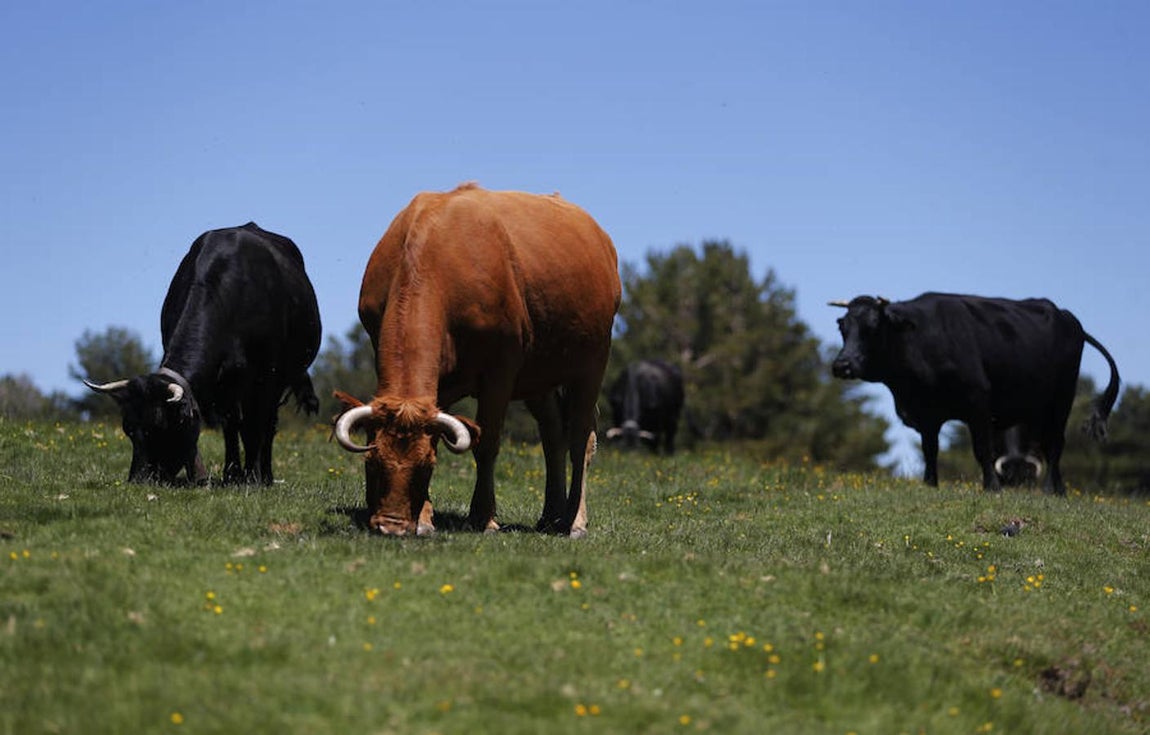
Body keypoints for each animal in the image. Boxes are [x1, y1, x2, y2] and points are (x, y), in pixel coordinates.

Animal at [86, 223, 321, 485]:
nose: (138, 480)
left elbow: (254, 427)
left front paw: (251, 477)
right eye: (128, 428)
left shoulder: (266, 377)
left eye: (161, 427)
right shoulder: (223, 383)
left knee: (268, 425)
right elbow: (231, 424)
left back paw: (265, 476)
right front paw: (232, 474)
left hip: (280, 380)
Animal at [332, 183, 621, 537]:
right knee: (553, 435)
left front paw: (483, 517)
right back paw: (551, 516)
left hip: (593, 362)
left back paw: (575, 521)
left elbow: (487, 442)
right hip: (539, 376)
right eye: (372, 463)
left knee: (581, 437)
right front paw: (426, 519)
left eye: (426, 467)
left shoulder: (501, 369)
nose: (392, 526)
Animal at [829, 293, 1120, 494]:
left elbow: (982, 449)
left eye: (872, 327)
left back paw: (1049, 489)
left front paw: (992, 487)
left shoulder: (978, 402)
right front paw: (930, 484)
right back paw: (1060, 491)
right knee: (1049, 446)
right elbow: (930, 450)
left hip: (1061, 399)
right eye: (843, 328)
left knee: (1056, 443)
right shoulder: (927, 414)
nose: (842, 365)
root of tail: (1068, 318)